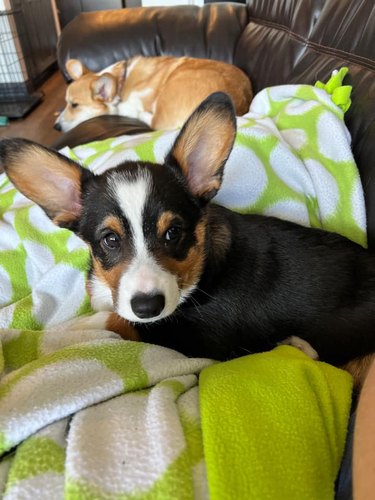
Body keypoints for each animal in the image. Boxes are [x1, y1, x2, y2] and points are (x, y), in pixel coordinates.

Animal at [2, 93, 375, 386]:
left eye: (173, 233)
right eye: (109, 240)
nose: (148, 306)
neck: (201, 267)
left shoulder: (195, 340)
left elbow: (109, 321)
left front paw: (49, 339)